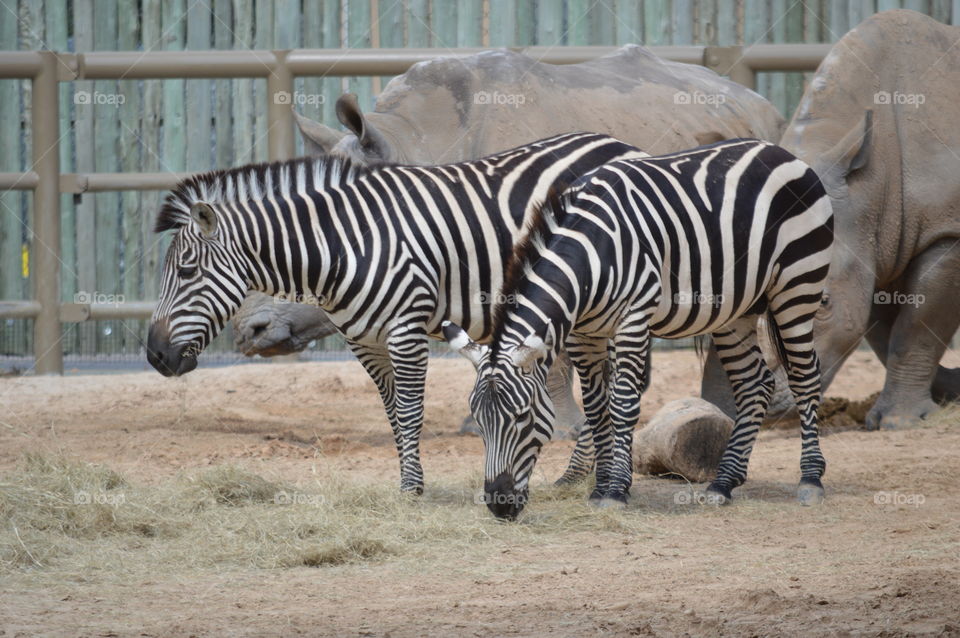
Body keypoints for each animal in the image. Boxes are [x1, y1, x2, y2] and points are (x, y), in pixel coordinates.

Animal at [146, 132, 648, 494]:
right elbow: (391, 411)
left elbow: (410, 410)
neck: (346, 244)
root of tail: (620, 144)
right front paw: (407, 481)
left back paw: (595, 476)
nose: (154, 356)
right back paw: (580, 475)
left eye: (186, 271)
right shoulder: (363, 342)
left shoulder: (406, 329)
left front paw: (412, 489)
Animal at [444, 138, 834, 519]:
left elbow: (623, 404)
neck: (592, 254)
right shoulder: (584, 335)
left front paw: (616, 490)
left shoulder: (632, 319)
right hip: (735, 310)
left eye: (522, 417)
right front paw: (600, 487)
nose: (499, 505)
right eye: (479, 422)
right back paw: (723, 483)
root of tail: (779, 150)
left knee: (804, 376)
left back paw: (810, 480)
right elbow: (596, 408)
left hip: (798, 285)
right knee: (755, 384)